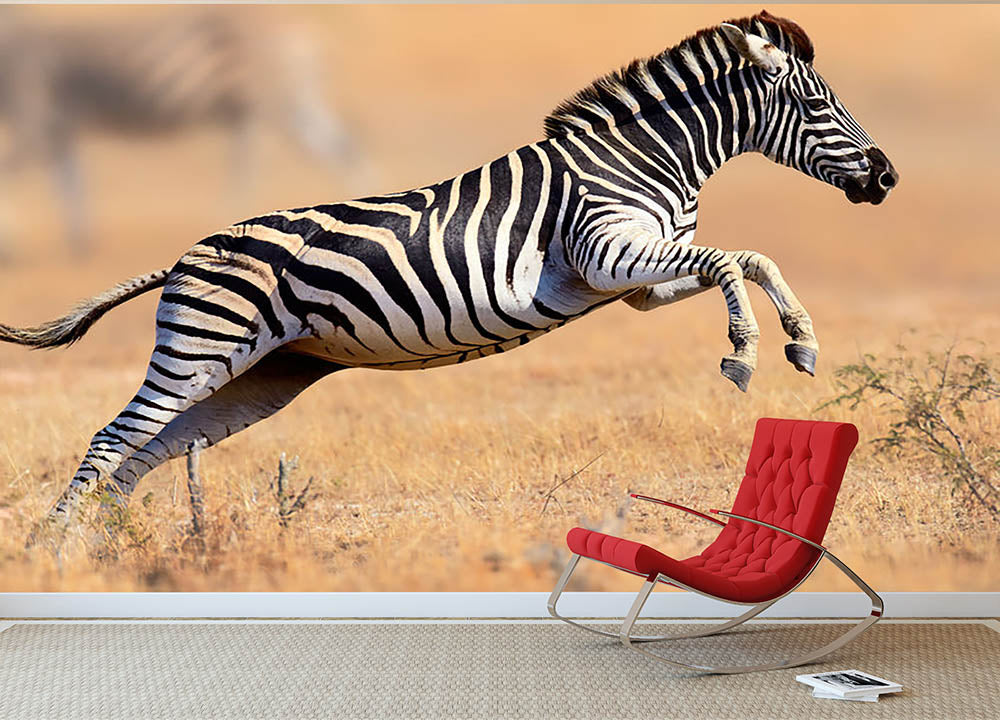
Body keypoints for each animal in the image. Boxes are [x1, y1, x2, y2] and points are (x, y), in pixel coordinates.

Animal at [0, 8, 362, 257]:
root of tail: (302, 36)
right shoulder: (59, 128)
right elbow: (70, 184)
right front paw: (82, 243)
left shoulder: (35, 119)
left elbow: (15, 174)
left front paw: (11, 246)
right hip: (285, 105)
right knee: (343, 148)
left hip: (271, 105)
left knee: (256, 168)